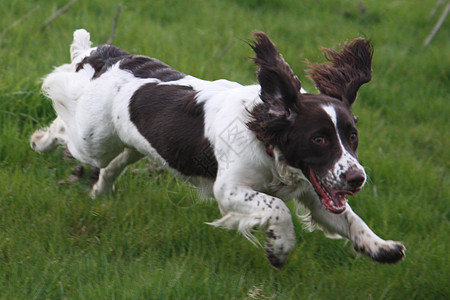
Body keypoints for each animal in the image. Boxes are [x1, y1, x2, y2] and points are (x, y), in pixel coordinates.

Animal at [30, 28, 404, 268]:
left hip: (132, 144)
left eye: (353, 136)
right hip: (92, 138)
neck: (264, 136)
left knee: (112, 165)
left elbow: (351, 220)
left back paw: (100, 193)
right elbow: (278, 207)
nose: (357, 178)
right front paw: (279, 249)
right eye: (319, 139)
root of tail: (104, 56)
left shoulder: (315, 193)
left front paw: (383, 249)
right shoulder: (229, 189)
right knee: (65, 122)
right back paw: (40, 141)